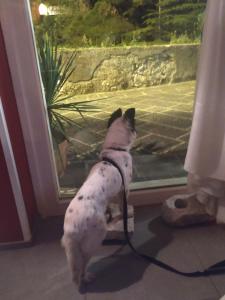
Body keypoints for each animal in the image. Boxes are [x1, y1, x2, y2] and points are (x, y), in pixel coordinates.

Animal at [60, 108, 136, 288]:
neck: (116, 149)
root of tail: (72, 229)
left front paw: (111, 214)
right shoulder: (125, 189)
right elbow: (123, 209)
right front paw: (127, 215)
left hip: (69, 246)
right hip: (95, 240)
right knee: (83, 264)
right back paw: (87, 277)